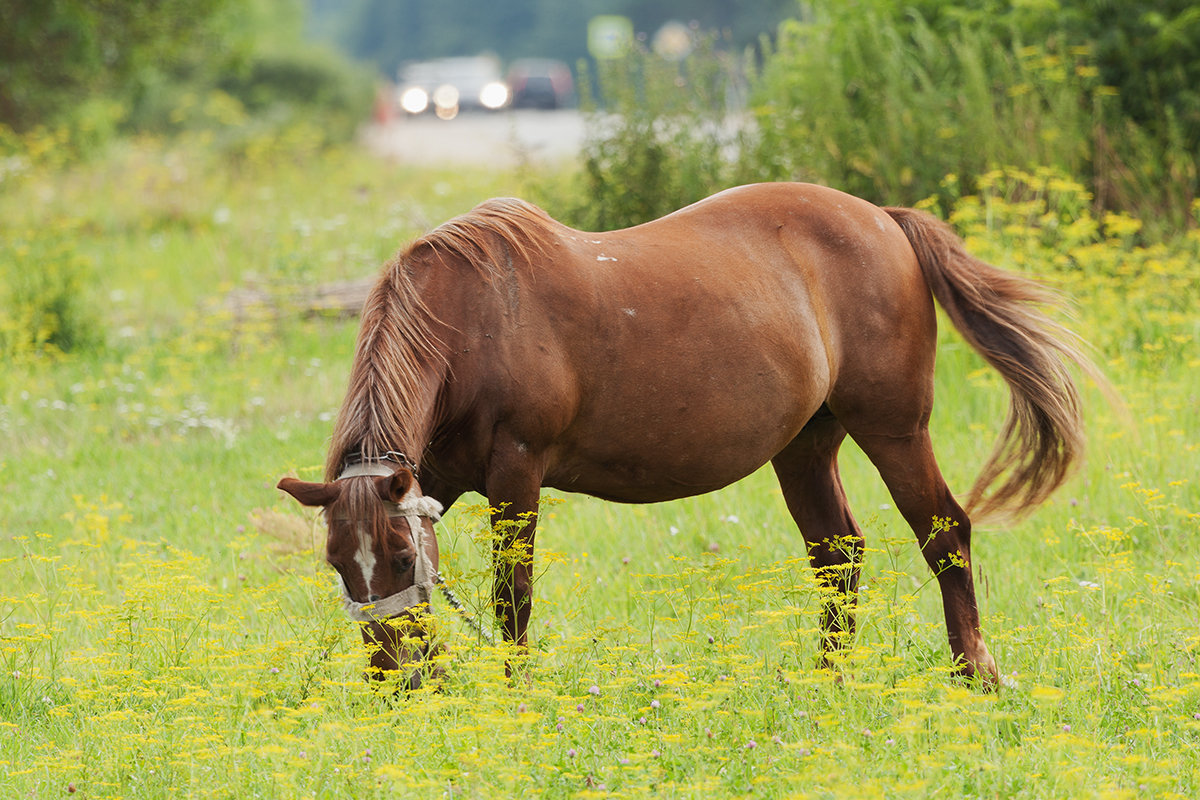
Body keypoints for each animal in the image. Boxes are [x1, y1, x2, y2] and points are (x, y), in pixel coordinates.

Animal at [274, 181, 1099, 690]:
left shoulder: (517, 470)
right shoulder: (433, 476)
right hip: (806, 446)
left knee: (945, 531)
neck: (468, 321)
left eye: (400, 557)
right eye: (337, 563)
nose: (399, 682)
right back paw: (828, 679)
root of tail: (884, 219)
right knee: (837, 556)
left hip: (894, 427)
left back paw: (974, 674)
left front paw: (519, 695)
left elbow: (513, 595)